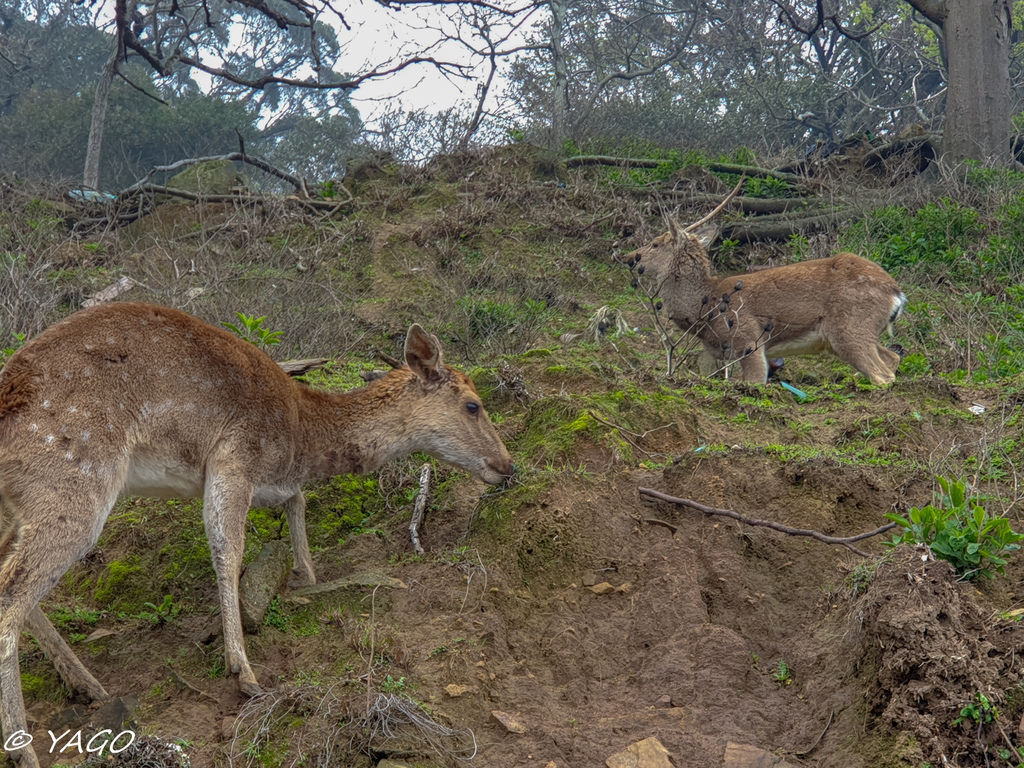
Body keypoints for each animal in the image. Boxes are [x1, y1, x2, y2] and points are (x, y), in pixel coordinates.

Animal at [0, 303, 512, 768]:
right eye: (473, 404)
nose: (507, 465)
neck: (301, 435)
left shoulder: (274, 480)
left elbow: (297, 503)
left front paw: (306, 572)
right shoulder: (235, 455)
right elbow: (229, 550)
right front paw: (243, 671)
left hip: (22, 502)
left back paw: (86, 684)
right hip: (74, 482)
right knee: (12, 596)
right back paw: (24, 749)